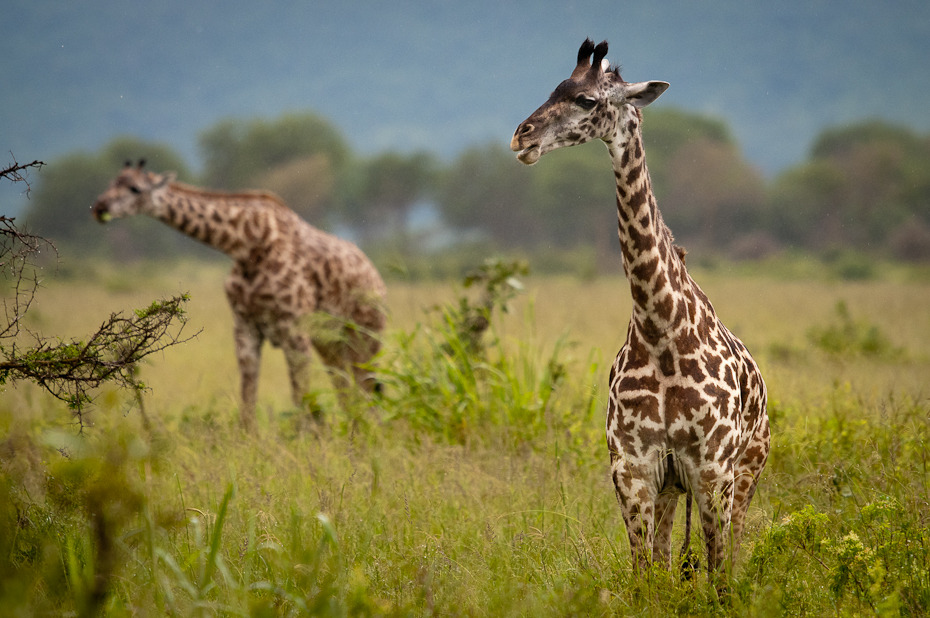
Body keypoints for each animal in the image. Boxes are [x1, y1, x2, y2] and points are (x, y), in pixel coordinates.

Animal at [89, 161, 384, 426]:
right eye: (112, 182)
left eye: (135, 189)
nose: (100, 207)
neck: (247, 246)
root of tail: (375, 277)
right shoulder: (245, 325)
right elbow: (248, 399)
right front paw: (249, 441)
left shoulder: (294, 329)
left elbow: (301, 397)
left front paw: (309, 442)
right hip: (329, 340)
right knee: (345, 387)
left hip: (365, 335)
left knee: (365, 387)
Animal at [508, 39, 768, 576]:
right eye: (553, 89)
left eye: (586, 100)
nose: (522, 136)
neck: (661, 329)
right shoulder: (633, 468)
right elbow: (647, 574)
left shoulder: (711, 470)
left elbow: (717, 575)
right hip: (673, 489)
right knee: (669, 554)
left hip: (747, 472)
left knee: (732, 554)